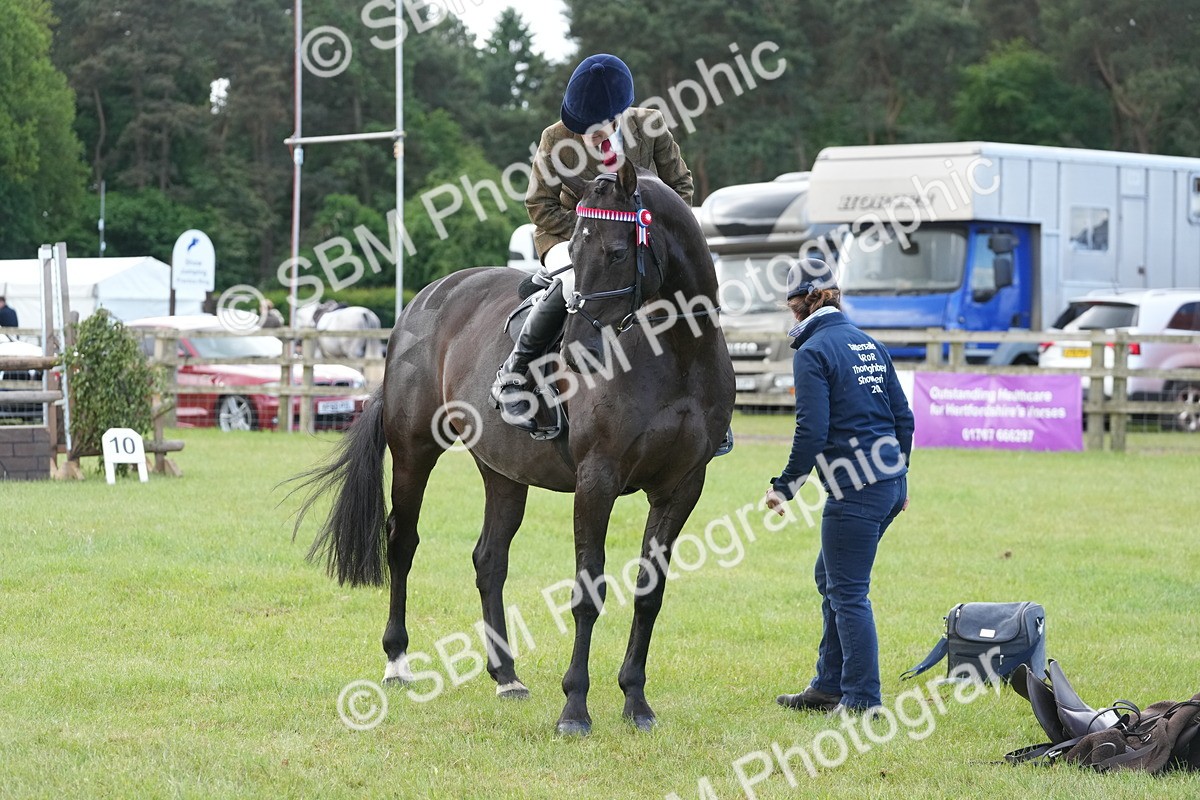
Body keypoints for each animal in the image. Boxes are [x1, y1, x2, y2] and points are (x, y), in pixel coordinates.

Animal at [291, 159, 735, 735]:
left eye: (617, 253)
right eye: (575, 251)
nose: (578, 353)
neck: (677, 355)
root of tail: (424, 299)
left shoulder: (681, 488)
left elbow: (649, 592)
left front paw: (636, 701)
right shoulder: (597, 480)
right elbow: (588, 591)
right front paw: (575, 708)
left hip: (503, 471)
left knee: (489, 560)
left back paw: (505, 675)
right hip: (413, 452)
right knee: (402, 543)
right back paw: (397, 662)